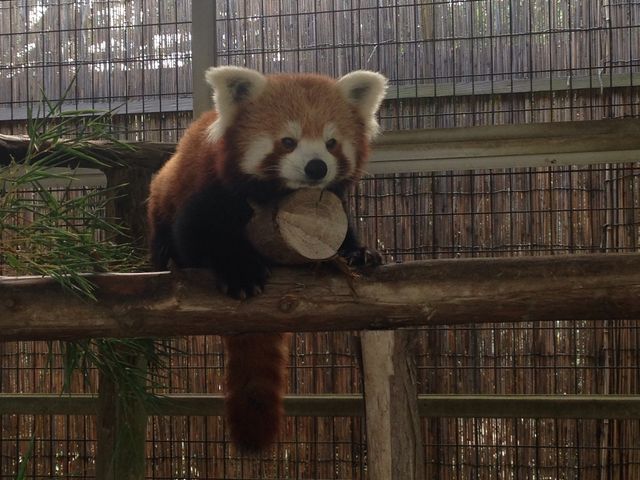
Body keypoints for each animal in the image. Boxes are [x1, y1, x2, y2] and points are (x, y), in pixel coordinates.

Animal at [148, 65, 388, 452]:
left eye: (331, 143)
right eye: (288, 142)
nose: (317, 167)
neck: (280, 194)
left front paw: (358, 253)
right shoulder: (209, 189)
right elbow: (198, 237)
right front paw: (241, 271)